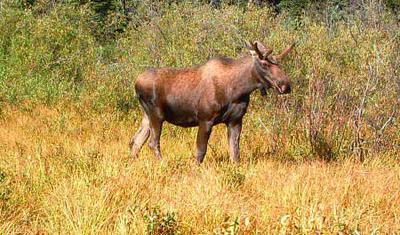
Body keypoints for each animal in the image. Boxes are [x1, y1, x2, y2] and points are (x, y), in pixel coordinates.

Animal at [128, 40, 294, 163]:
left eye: (279, 64)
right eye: (265, 64)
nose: (286, 85)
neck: (238, 90)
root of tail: (136, 83)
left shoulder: (235, 120)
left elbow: (235, 153)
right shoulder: (205, 119)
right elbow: (201, 151)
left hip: (146, 115)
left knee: (136, 141)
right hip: (156, 114)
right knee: (152, 143)